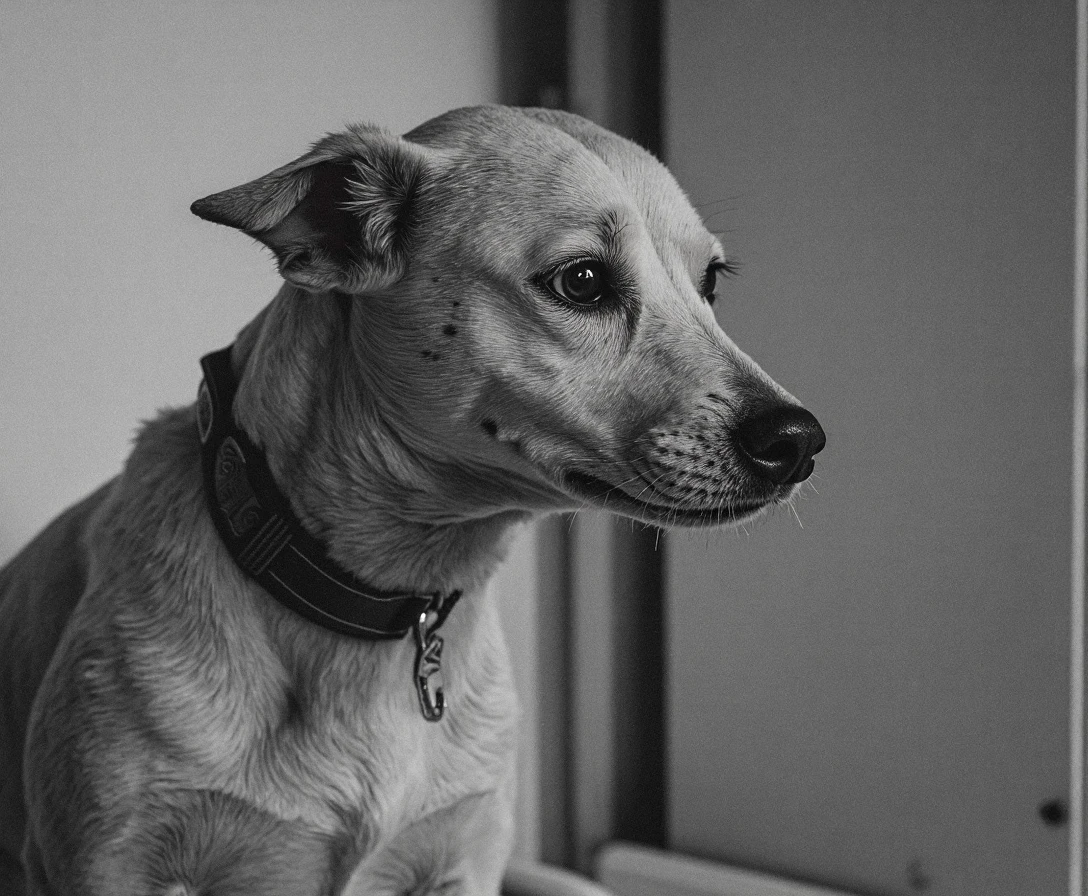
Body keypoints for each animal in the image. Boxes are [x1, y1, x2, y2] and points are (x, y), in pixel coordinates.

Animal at [0, 106, 818, 896]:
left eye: (711, 283)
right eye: (582, 281)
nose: (802, 441)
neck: (381, 604)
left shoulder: (464, 858)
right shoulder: (112, 860)